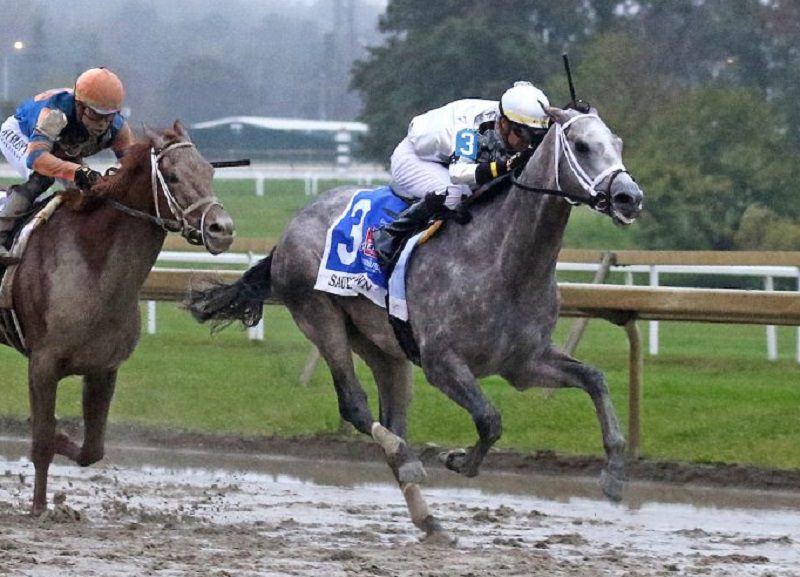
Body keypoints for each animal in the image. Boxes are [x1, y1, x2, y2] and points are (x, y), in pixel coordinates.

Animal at [0, 120, 234, 512]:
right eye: (172, 176)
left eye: (209, 171)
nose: (223, 229)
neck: (92, 267)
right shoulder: (42, 364)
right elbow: (42, 441)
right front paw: (39, 508)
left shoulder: (103, 367)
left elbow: (91, 450)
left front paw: (63, 437)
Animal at [188, 107, 644, 540]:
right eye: (582, 145)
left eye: (619, 143)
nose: (629, 197)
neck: (505, 260)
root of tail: (290, 230)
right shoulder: (443, 363)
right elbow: (490, 419)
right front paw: (457, 459)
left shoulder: (524, 363)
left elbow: (595, 380)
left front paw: (614, 475)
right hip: (320, 316)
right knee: (356, 406)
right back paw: (407, 461)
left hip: (382, 347)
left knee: (393, 418)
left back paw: (429, 518)